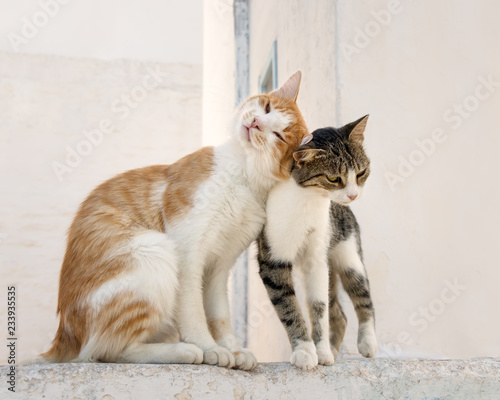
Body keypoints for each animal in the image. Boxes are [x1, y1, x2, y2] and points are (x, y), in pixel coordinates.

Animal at [43, 71, 310, 368]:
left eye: (279, 136)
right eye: (266, 107)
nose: (255, 123)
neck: (242, 174)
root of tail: (63, 338)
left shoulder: (219, 267)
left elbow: (219, 313)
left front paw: (231, 348)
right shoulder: (186, 249)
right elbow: (192, 308)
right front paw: (208, 347)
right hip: (154, 250)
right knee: (106, 350)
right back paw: (184, 350)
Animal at [256, 115, 376, 368]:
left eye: (361, 173)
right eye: (333, 178)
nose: (353, 195)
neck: (308, 200)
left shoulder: (317, 256)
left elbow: (318, 306)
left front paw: (320, 350)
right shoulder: (273, 257)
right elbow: (288, 305)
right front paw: (304, 350)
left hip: (349, 255)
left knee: (362, 296)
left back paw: (367, 342)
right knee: (340, 315)